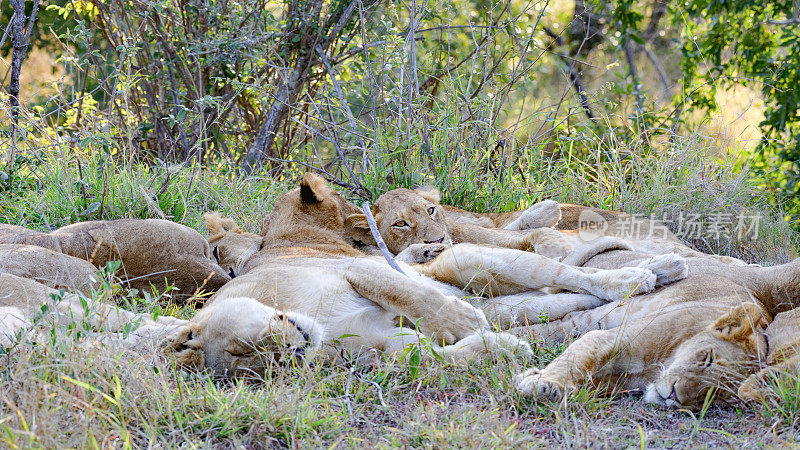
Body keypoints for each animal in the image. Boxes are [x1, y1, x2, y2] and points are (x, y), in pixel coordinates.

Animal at [510, 250, 800, 412]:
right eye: (707, 360)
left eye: (715, 395)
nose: (674, 396)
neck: (657, 368)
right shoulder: (607, 338)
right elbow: (577, 359)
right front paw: (545, 384)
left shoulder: (608, 383)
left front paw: (536, 376)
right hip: (608, 309)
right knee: (565, 321)